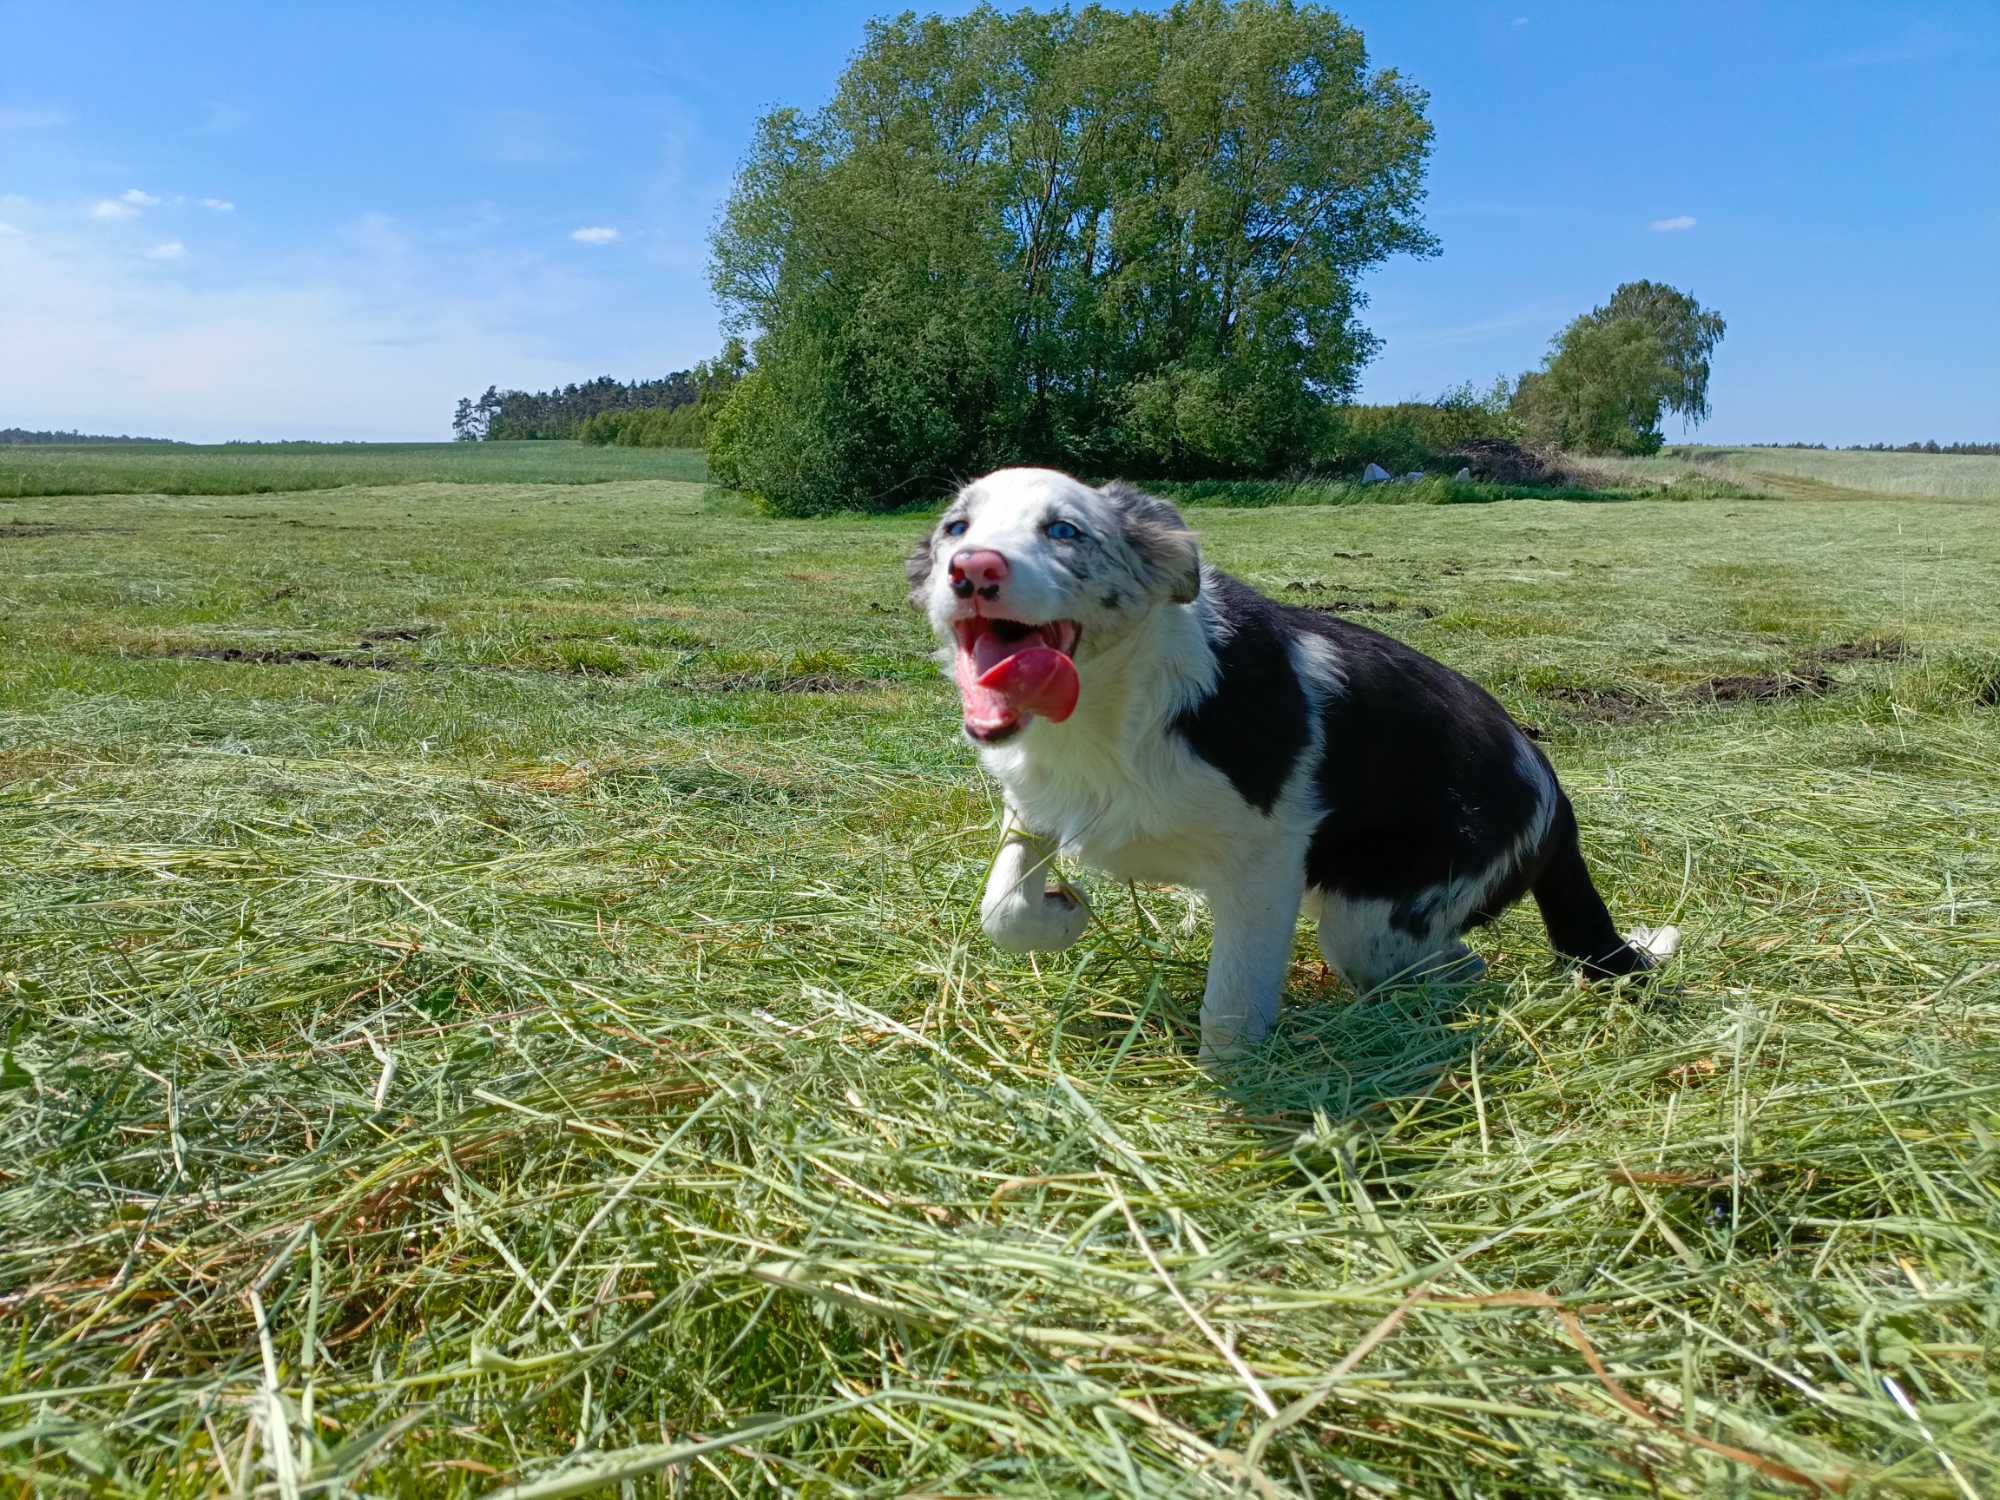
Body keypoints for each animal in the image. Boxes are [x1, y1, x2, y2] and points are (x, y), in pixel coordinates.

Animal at [908, 470, 1672, 1072]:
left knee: (1461, 968)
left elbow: (1231, 1007)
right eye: (956, 526)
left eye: (1064, 530)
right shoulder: (1033, 803)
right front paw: (1064, 912)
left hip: (1374, 919)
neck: (1108, 710)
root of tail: (1556, 799)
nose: (972, 570)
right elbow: (1003, 909)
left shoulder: (1264, 865)